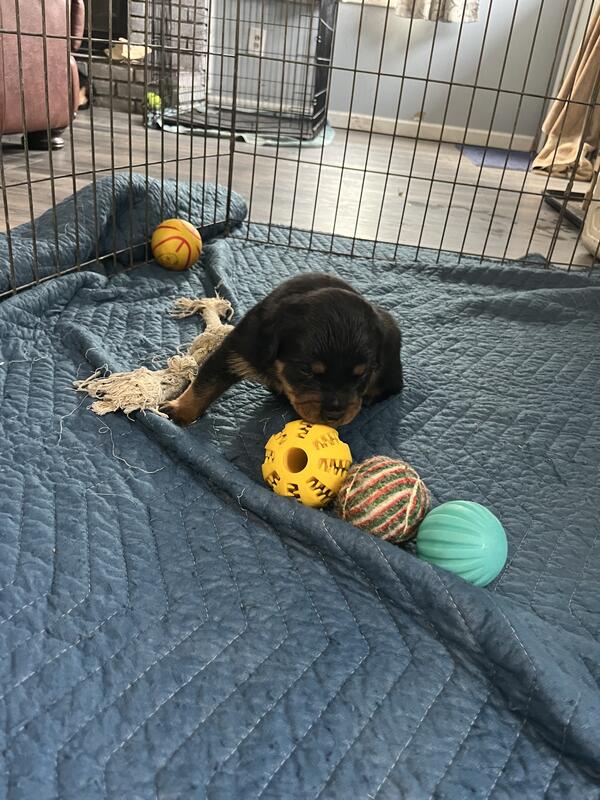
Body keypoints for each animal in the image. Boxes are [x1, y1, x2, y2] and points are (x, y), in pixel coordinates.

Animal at [161, 273, 403, 427]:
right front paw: (180, 410)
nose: (334, 414)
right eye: (306, 371)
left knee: (393, 387)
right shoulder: (236, 351)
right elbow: (204, 384)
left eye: (361, 375)